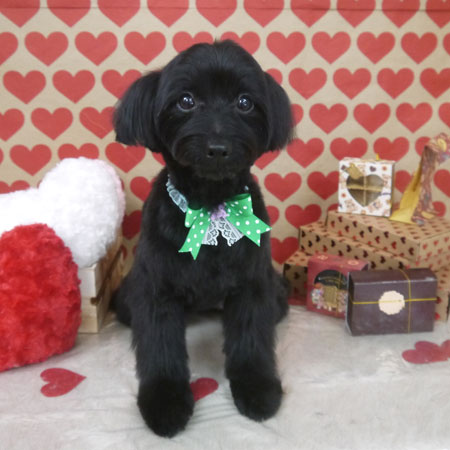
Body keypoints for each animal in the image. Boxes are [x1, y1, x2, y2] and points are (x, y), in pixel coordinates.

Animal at [112, 40, 294, 437]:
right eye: (186, 100)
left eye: (245, 102)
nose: (218, 146)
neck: (210, 210)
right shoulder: (156, 291)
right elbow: (160, 348)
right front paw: (164, 403)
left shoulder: (254, 285)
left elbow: (251, 341)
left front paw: (257, 389)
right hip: (126, 300)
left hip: (278, 296)